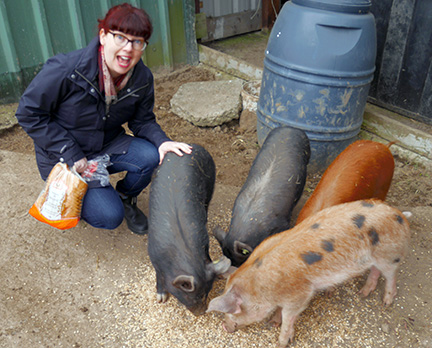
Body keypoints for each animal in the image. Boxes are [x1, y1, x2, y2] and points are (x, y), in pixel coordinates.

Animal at [148, 144, 231, 316]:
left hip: (211, 181)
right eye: (193, 295)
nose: (201, 313)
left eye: (207, 292)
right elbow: (159, 276)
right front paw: (161, 299)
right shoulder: (153, 255)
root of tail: (195, 145)